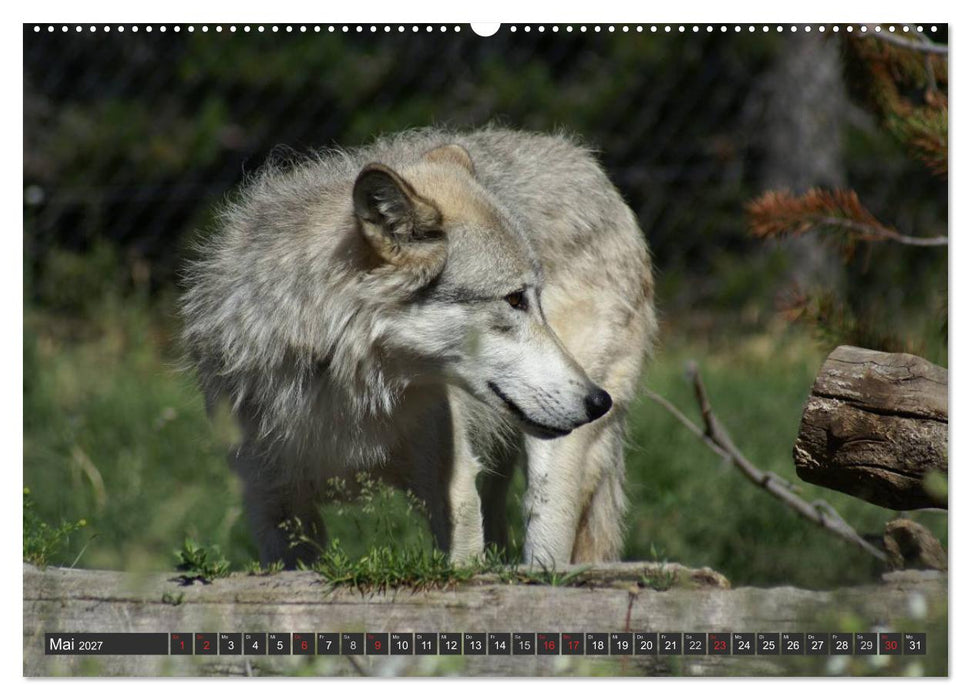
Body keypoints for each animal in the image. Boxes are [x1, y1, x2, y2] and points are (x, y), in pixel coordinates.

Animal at [181, 127, 656, 569]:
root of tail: (588, 164)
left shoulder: (454, 491)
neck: (344, 387)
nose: (598, 401)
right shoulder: (275, 509)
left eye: (535, 298)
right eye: (515, 299)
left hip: (553, 465)